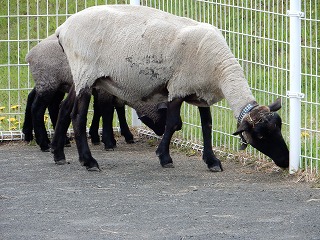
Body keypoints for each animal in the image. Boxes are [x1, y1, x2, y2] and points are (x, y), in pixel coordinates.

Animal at [51, 5, 288, 171]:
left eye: (279, 127)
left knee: (64, 108)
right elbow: (173, 123)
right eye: (260, 136)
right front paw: (164, 157)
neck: (220, 69)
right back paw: (88, 161)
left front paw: (212, 161)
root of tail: (62, 29)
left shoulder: (200, 91)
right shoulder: (177, 87)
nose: (285, 161)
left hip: (79, 75)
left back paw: (58, 154)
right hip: (85, 72)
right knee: (78, 116)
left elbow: (207, 126)